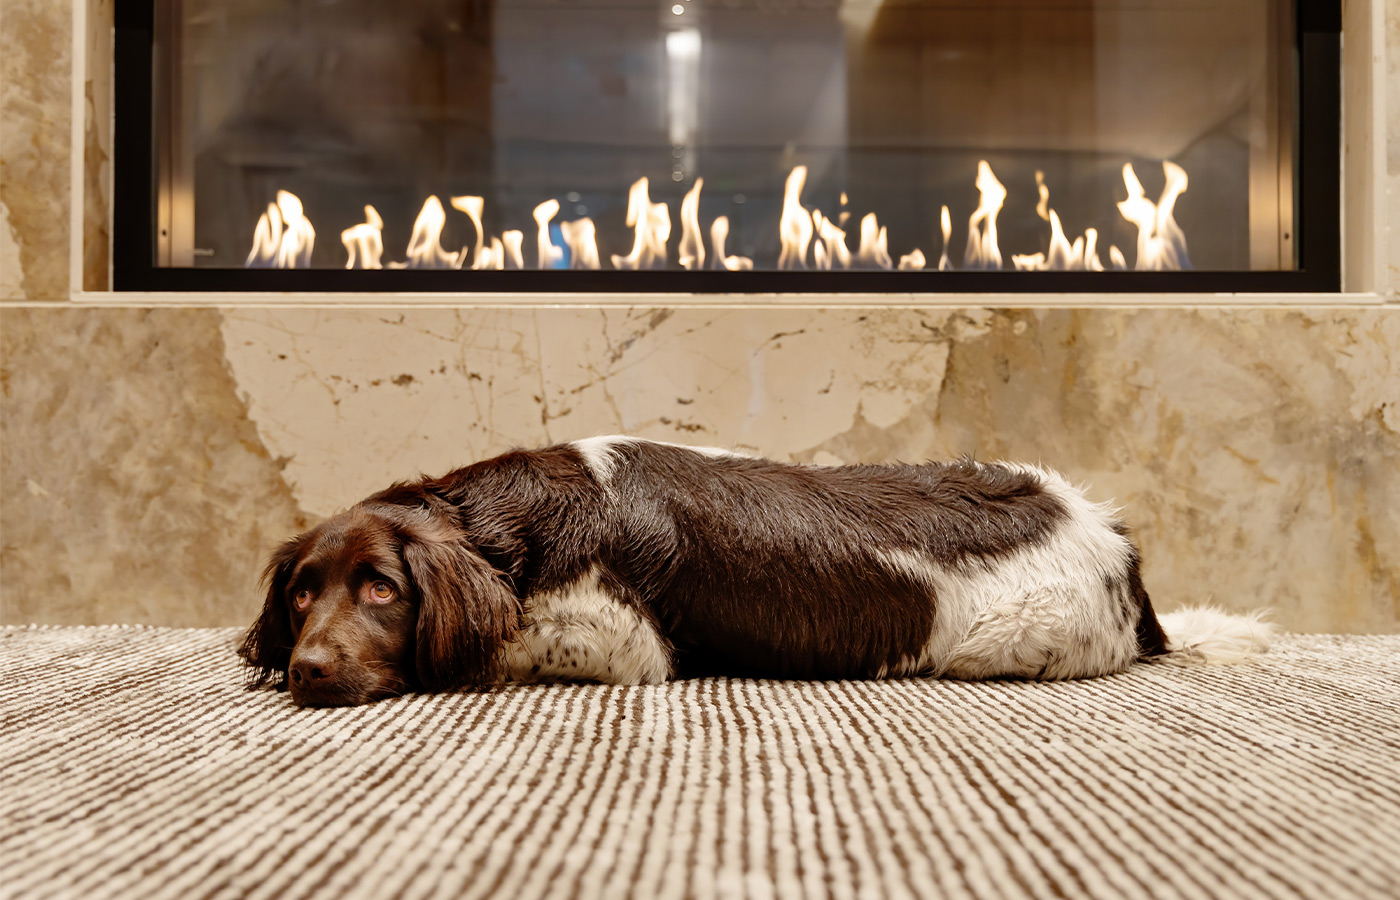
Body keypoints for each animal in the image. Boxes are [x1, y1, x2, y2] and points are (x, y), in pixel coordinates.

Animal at [238, 439, 1271, 711]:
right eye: (301, 592)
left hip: (1011, 637)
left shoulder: (615, 640)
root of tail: (1112, 537)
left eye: (383, 588)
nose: (307, 670)